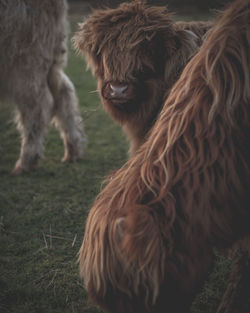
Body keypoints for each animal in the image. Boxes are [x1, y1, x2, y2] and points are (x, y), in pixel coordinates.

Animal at [0, 0, 86, 173]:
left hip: (24, 58)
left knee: (38, 106)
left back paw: (26, 161)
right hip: (51, 56)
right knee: (64, 94)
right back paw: (73, 151)